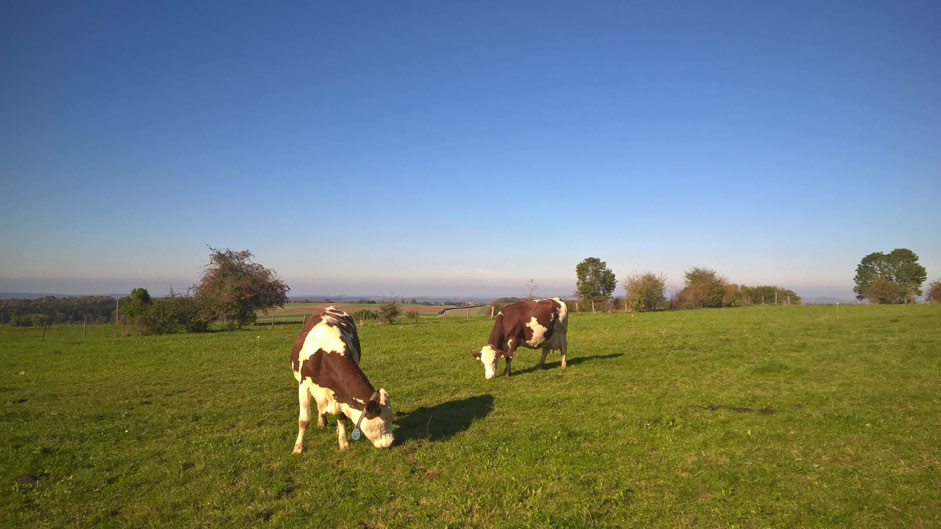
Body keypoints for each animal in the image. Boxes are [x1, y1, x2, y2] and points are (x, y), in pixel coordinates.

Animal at [290, 306, 392, 450]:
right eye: (387, 418)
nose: (391, 442)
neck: (324, 355)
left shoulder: (341, 394)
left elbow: (342, 417)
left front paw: (343, 442)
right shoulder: (304, 386)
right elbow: (304, 420)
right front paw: (298, 448)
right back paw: (321, 421)